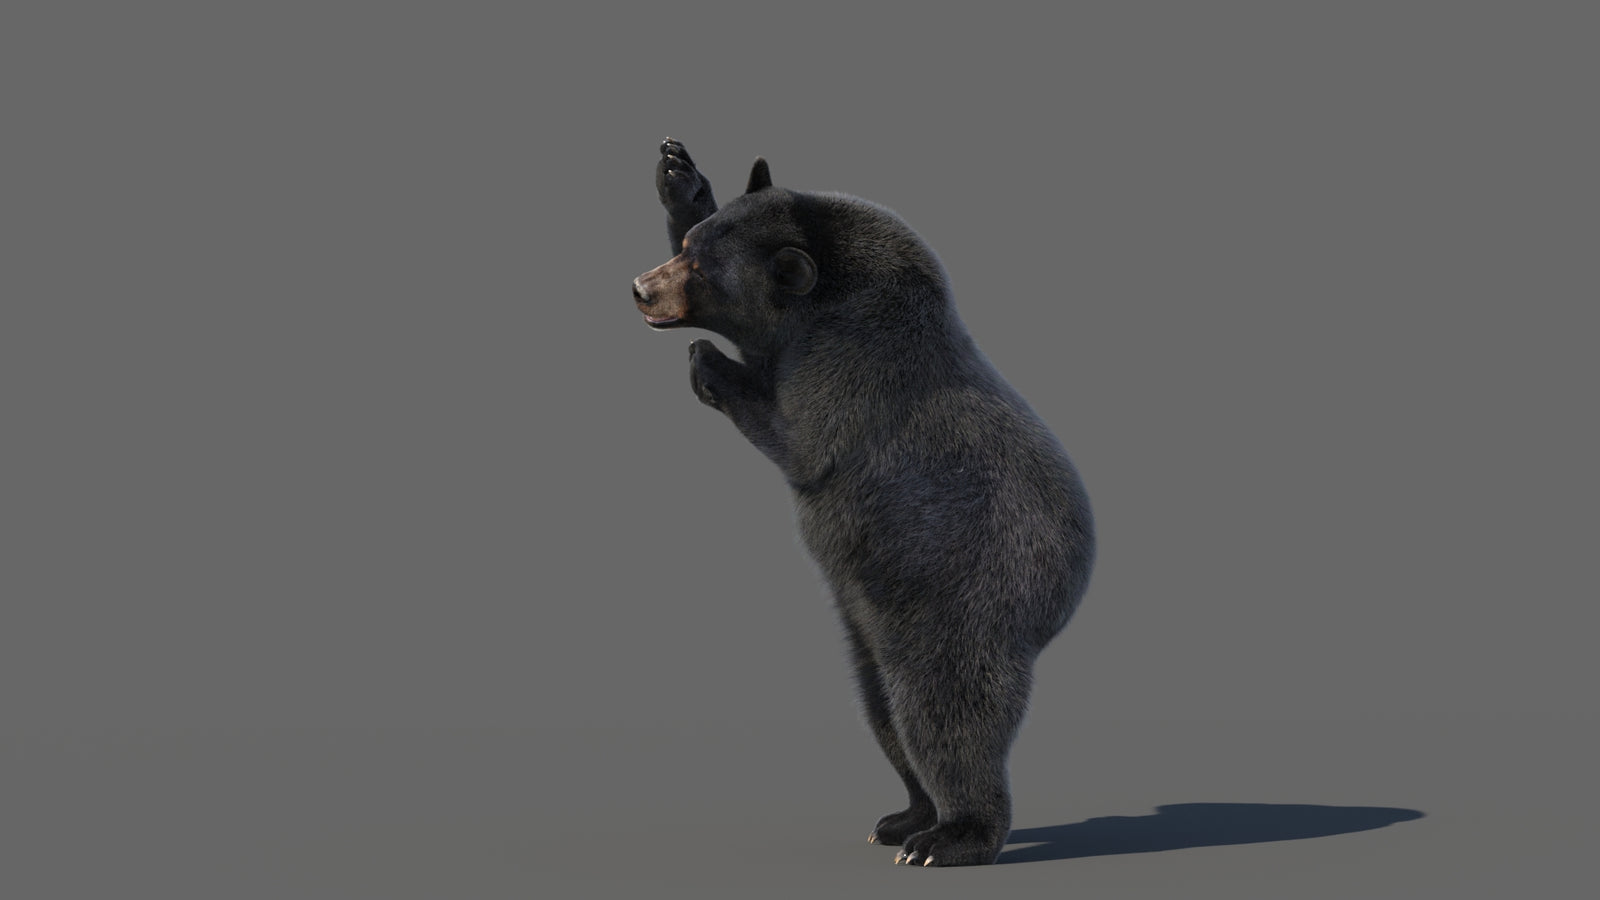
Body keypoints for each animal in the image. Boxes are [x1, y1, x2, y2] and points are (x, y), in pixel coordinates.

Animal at [631, 139, 1096, 867]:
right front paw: (679, 175)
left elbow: (799, 437)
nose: (641, 288)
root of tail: (1066, 596)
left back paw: (952, 836)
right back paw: (903, 817)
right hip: (873, 627)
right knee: (882, 714)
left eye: (703, 271)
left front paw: (709, 361)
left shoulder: (852, 363)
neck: (830, 290)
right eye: (688, 249)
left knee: (944, 719)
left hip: (962, 608)